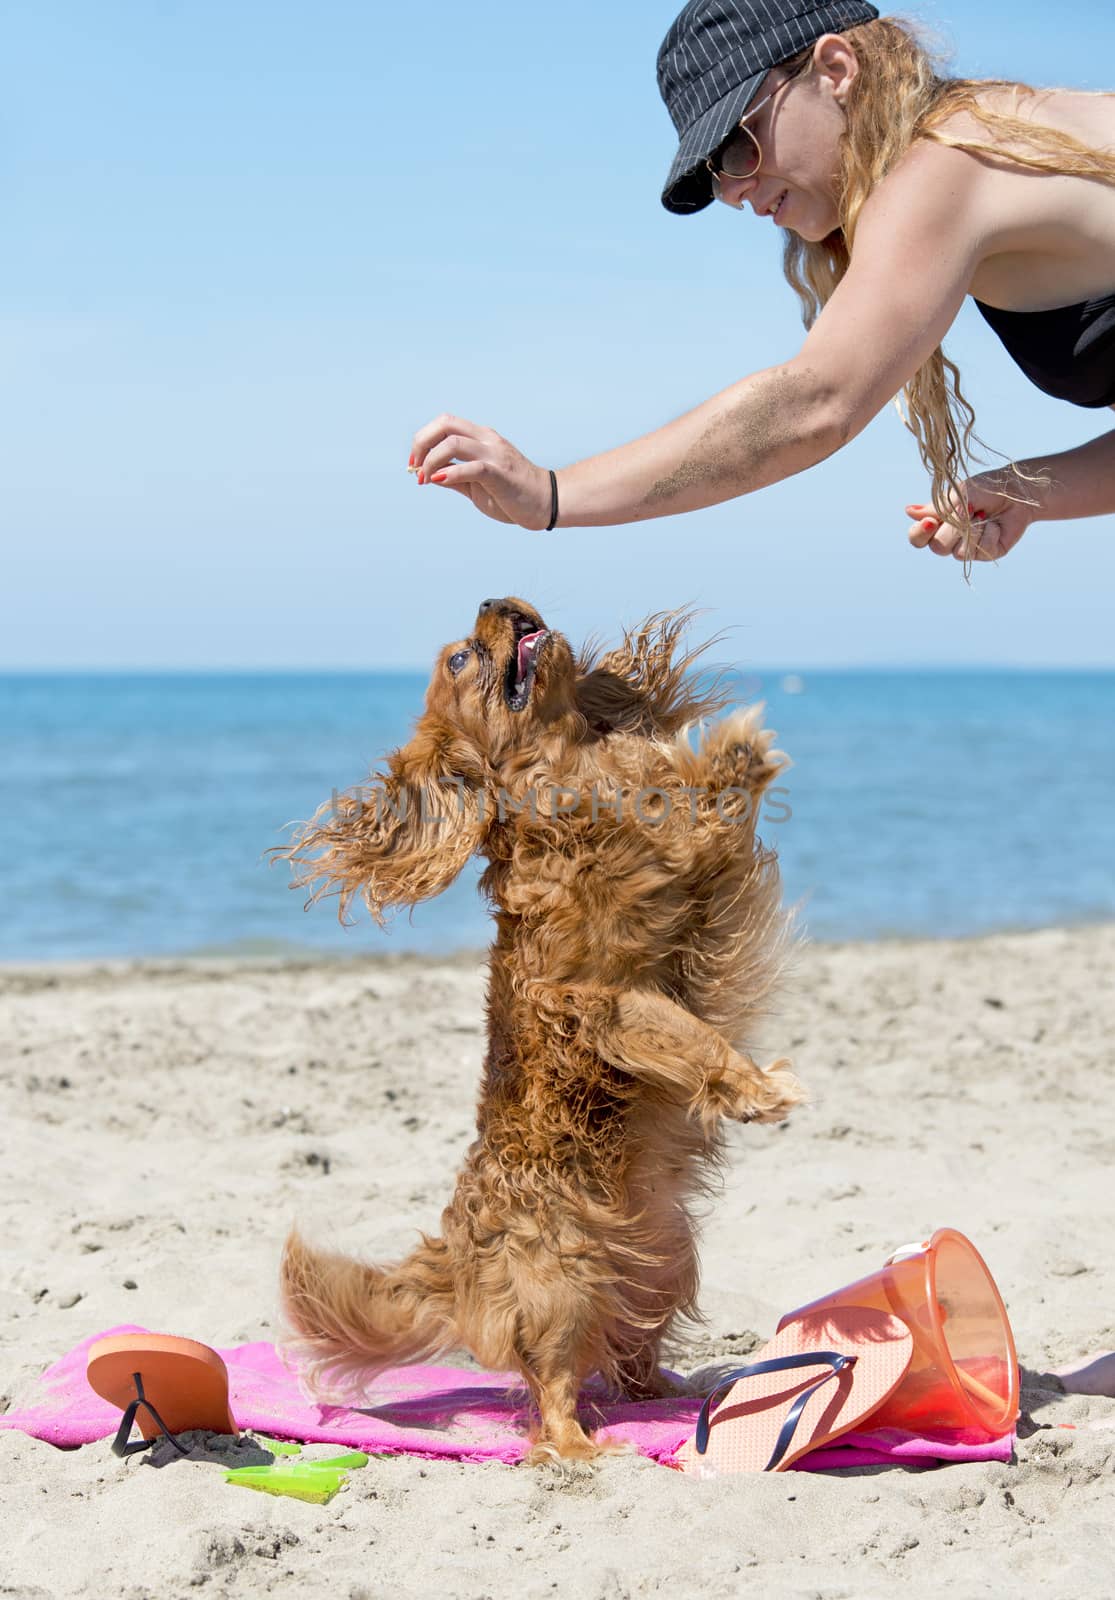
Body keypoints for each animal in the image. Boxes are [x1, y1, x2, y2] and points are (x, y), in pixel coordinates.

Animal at [276, 598, 799, 1465]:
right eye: (461, 659)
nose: (497, 602)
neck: (573, 766)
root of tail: (460, 1251)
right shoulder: (604, 999)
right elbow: (692, 1040)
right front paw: (755, 1089)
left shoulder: (687, 897)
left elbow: (700, 817)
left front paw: (727, 761)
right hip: (564, 1283)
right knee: (552, 1392)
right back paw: (585, 1450)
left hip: (663, 1267)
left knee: (626, 1358)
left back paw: (674, 1394)